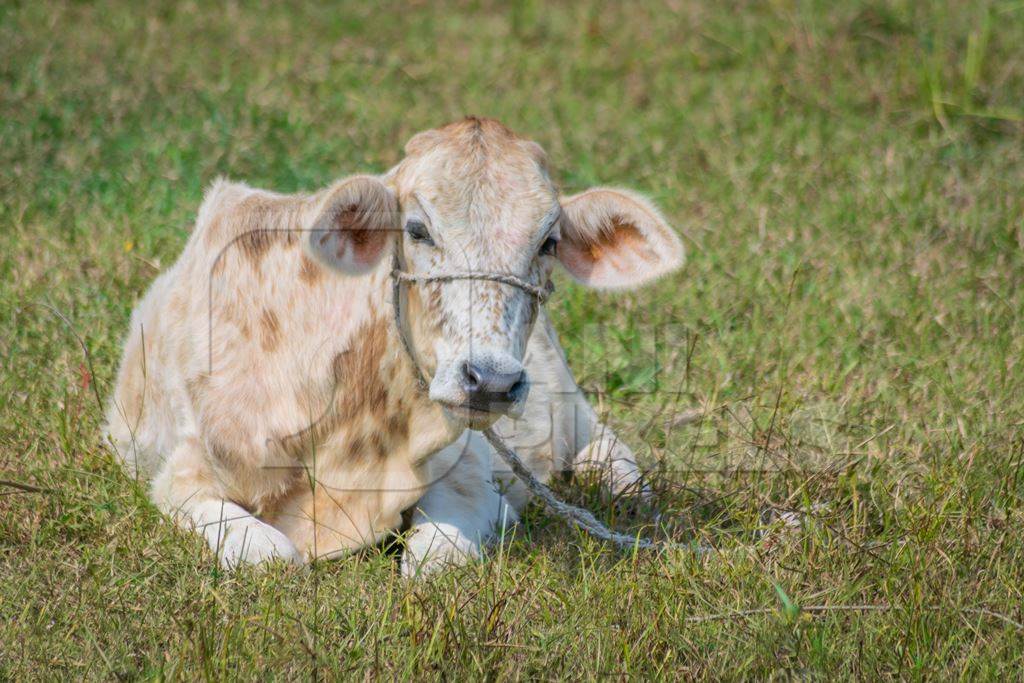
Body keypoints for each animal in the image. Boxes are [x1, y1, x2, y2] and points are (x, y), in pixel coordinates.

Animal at [103, 117, 684, 577]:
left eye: (548, 242)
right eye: (418, 229)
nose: (491, 380)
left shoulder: (469, 468)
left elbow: (435, 559)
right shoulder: (182, 474)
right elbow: (272, 557)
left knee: (605, 448)